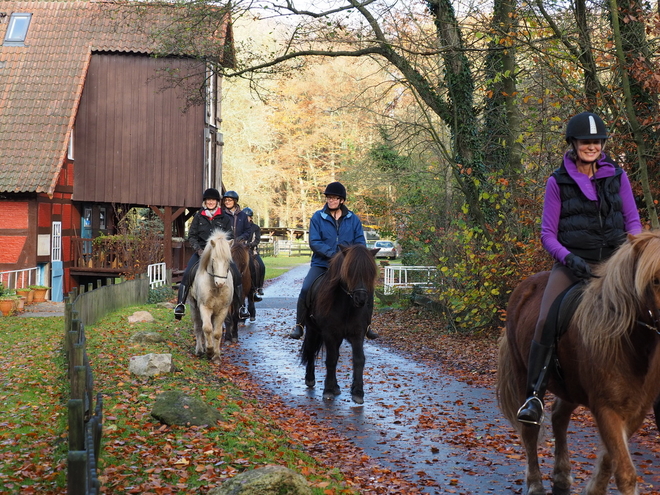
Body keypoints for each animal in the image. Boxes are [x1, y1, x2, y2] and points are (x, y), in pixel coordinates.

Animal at [302, 244, 378, 404]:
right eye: (350, 271)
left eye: (370, 272)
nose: (361, 299)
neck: (347, 307)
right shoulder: (330, 334)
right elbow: (331, 360)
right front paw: (328, 390)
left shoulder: (357, 334)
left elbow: (359, 359)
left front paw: (358, 392)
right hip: (312, 330)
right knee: (311, 350)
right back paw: (311, 379)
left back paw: (336, 386)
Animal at [498, 232, 660, 495]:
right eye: (655, 280)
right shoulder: (606, 408)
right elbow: (624, 472)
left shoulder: (635, 411)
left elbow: (610, 458)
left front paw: (594, 489)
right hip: (524, 374)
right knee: (531, 430)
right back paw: (535, 483)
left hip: (570, 387)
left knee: (558, 417)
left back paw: (562, 476)